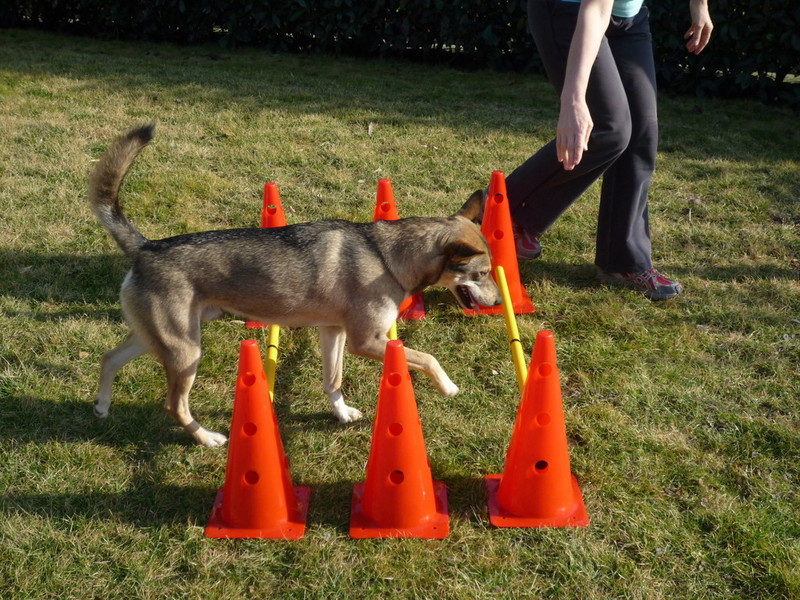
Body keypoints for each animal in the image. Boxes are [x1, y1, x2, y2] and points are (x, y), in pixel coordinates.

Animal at [90, 124, 501, 447]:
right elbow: (428, 358)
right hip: (185, 352)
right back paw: (207, 438)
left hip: (160, 342)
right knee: (174, 405)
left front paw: (342, 413)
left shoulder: (334, 333)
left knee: (108, 358)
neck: (386, 256)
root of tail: (145, 247)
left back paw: (102, 406)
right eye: (482, 273)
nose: (499, 302)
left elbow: (332, 381)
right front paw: (448, 387)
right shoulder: (367, 341)